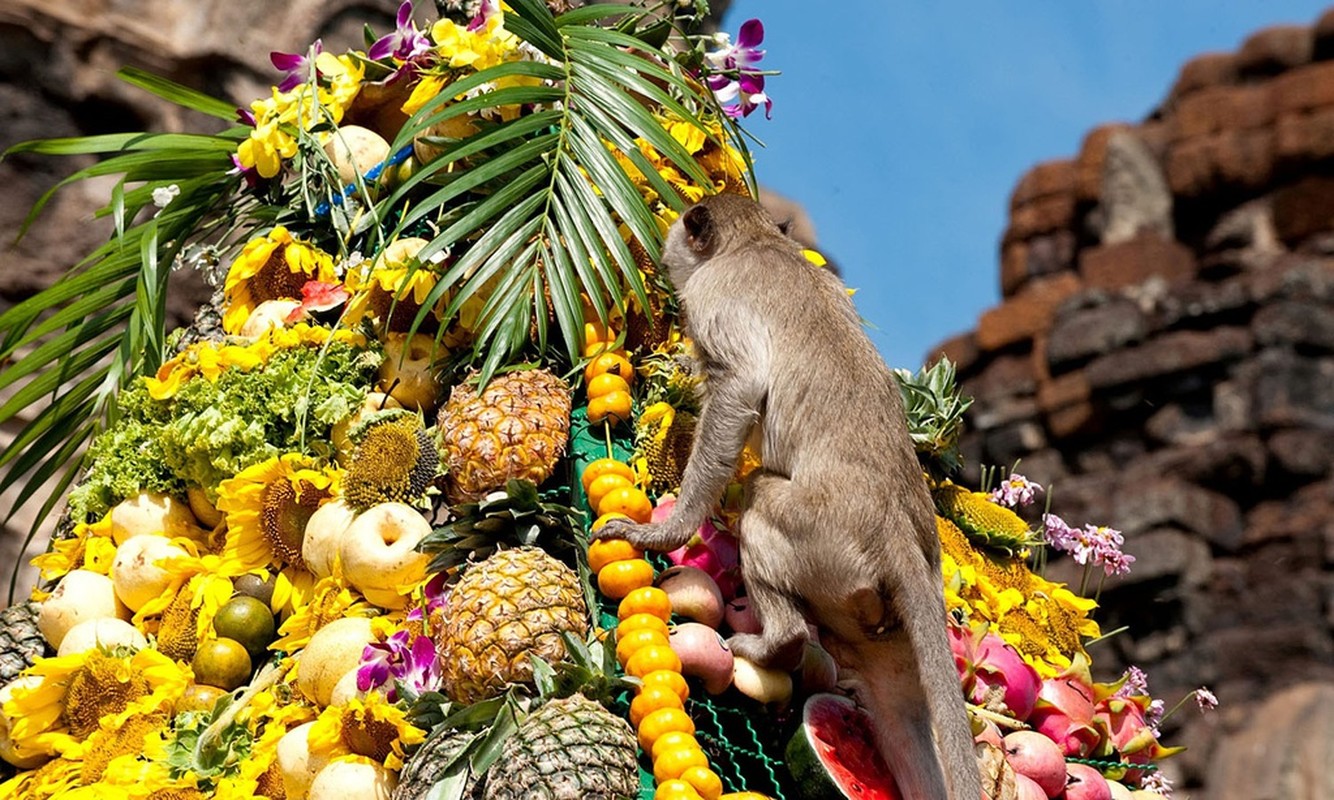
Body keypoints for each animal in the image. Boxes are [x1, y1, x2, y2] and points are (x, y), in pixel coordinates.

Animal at [594, 194, 981, 800]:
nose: (666, 248)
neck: (756, 242)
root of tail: (897, 533)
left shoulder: (714, 301)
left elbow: (736, 390)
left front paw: (664, 531)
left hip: (820, 537)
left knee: (759, 504)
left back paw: (778, 643)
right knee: (900, 711)